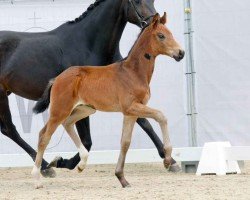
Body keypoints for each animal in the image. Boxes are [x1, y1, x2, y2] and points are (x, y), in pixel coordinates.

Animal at [31, 13, 184, 188]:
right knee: (44, 136)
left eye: (170, 33)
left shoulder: (130, 113)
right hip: (60, 110)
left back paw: (80, 164)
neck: (133, 73)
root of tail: (56, 79)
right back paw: (37, 179)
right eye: (161, 35)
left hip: (85, 109)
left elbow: (125, 142)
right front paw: (167, 160)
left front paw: (122, 178)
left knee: (68, 123)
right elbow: (161, 116)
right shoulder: (131, 107)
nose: (181, 53)